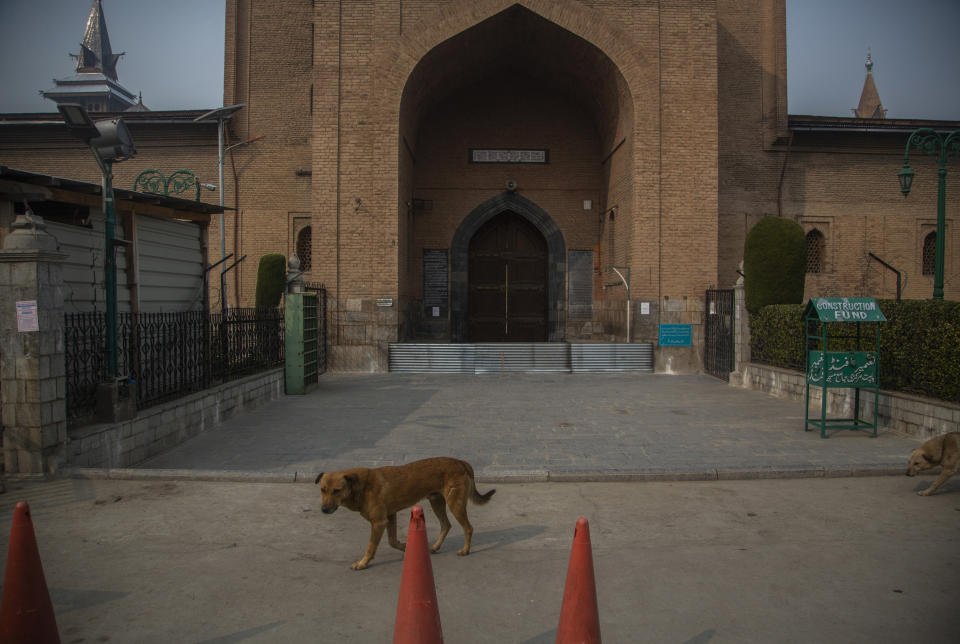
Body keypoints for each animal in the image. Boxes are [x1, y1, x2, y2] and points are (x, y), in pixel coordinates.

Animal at [316, 458, 496, 568]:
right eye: (322, 490)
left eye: (337, 491)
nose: (323, 510)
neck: (360, 486)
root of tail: (461, 462)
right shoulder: (390, 516)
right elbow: (392, 541)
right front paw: (406, 547)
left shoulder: (379, 522)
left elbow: (371, 546)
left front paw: (362, 563)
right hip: (436, 501)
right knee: (446, 525)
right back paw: (434, 547)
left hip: (455, 504)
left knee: (468, 528)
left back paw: (465, 550)